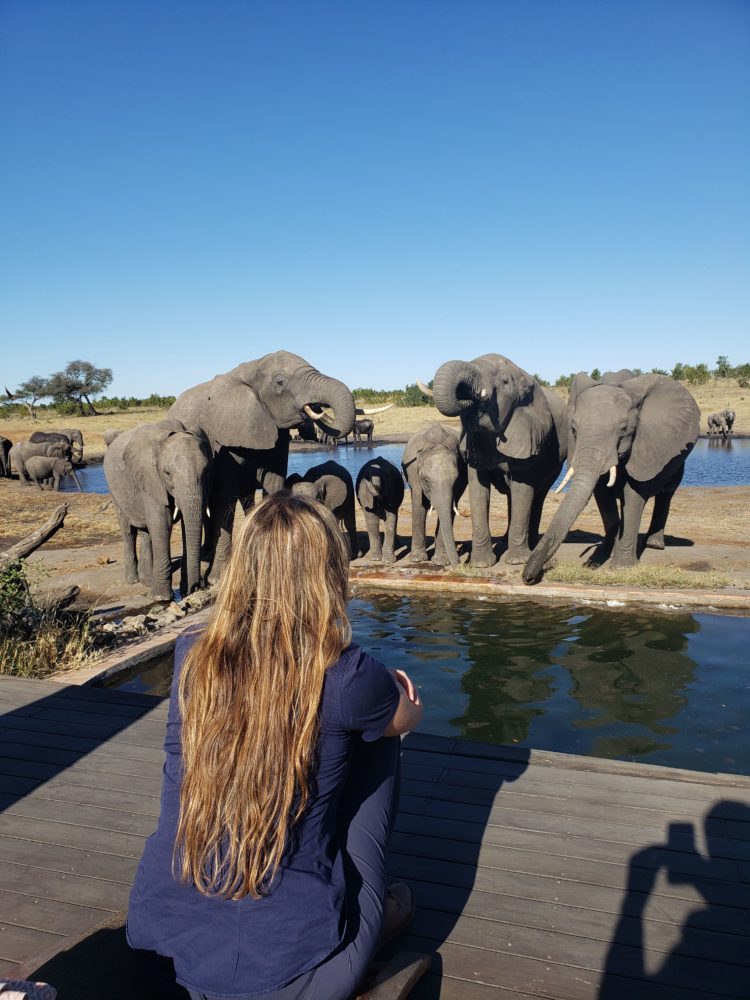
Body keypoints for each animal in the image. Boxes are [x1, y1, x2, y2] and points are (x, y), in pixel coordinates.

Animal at [104, 418, 213, 596]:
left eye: (206, 471)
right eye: (167, 473)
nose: (197, 587)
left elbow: (184, 524)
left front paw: (184, 589)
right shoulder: (150, 476)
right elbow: (162, 523)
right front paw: (160, 597)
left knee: (146, 531)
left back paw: (147, 581)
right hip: (114, 489)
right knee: (128, 531)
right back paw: (133, 580)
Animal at [169, 352, 356, 580]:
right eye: (280, 382)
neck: (252, 369)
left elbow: (273, 482)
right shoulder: (225, 438)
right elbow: (225, 496)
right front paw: (216, 577)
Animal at [402, 420, 468, 568]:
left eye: (456, 480)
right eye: (426, 480)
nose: (460, 564)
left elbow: (450, 510)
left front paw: (441, 562)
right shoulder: (414, 472)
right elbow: (419, 507)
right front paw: (416, 559)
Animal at [432, 356, 568, 568]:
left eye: (505, 382)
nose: (468, 397)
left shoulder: (529, 436)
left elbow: (523, 489)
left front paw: (517, 562)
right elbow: (478, 489)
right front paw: (481, 565)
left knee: (537, 496)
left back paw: (531, 545)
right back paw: (506, 541)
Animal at [524, 372, 704, 584]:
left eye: (624, 430)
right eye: (574, 430)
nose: (529, 578)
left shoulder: (645, 447)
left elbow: (633, 496)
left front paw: (622, 567)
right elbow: (603, 496)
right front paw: (603, 554)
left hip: (675, 458)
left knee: (666, 494)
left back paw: (654, 544)